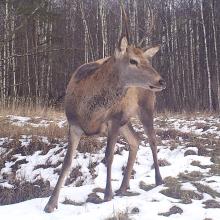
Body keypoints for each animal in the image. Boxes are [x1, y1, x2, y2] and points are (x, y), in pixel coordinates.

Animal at [44, 37, 165, 212]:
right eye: (133, 61)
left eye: (147, 61)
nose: (161, 80)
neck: (89, 113)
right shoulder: (73, 125)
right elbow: (67, 162)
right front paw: (50, 204)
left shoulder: (113, 119)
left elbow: (109, 156)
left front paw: (108, 195)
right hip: (125, 119)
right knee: (135, 141)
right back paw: (123, 187)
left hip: (146, 107)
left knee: (152, 140)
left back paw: (158, 180)